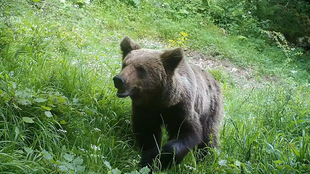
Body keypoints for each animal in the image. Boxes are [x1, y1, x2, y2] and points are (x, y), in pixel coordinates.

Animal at [112, 36, 224, 170]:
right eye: (125, 64)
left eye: (140, 68)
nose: (119, 80)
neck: (160, 101)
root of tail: (215, 80)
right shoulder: (145, 109)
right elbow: (147, 133)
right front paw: (149, 160)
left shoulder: (181, 108)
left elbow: (190, 132)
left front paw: (166, 158)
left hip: (210, 108)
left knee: (209, 137)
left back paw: (205, 159)